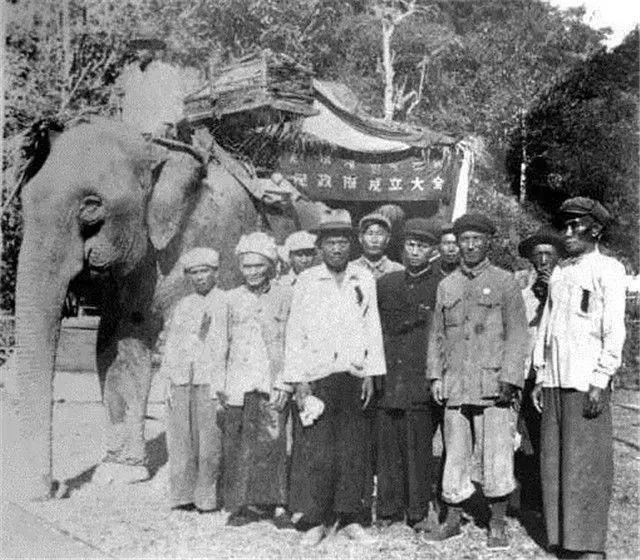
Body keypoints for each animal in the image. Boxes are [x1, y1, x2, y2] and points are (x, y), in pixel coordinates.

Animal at [12, 117, 328, 498]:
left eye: (91, 206)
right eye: (24, 203)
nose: (57, 488)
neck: (155, 149)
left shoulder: (215, 236)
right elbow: (120, 347)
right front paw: (120, 474)